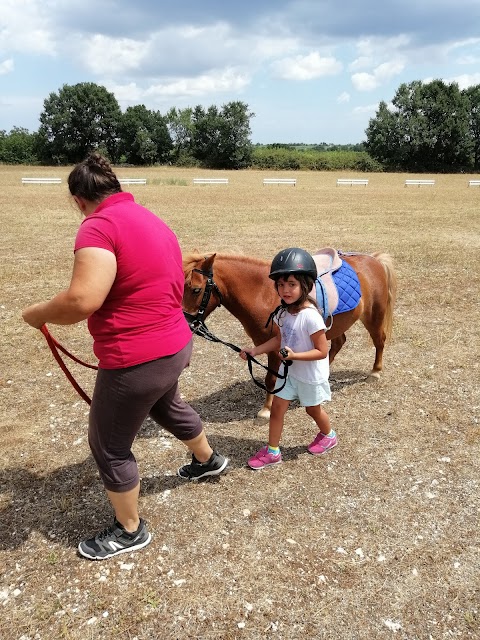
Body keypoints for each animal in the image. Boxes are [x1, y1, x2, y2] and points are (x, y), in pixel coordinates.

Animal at [182, 250, 396, 420]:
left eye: (196, 289)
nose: (186, 323)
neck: (263, 294)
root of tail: (374, 259)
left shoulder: (277, 348)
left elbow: (270, 379)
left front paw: (265, 411)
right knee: (337, 344)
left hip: (373, 316)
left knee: (379, 340)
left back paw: (375, 372)